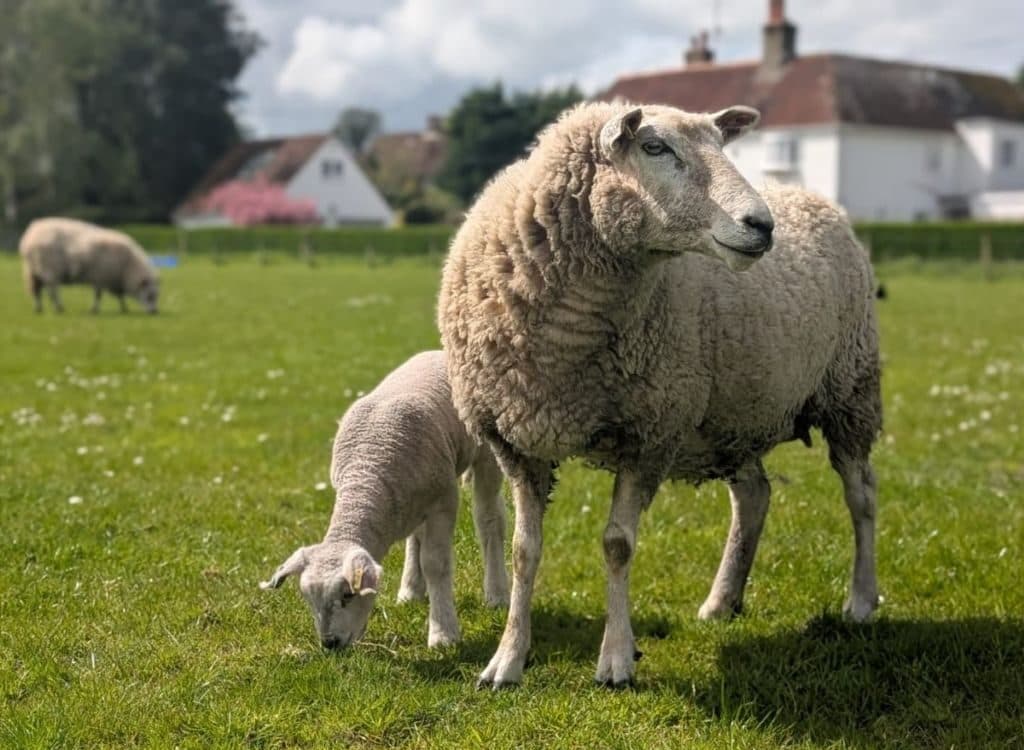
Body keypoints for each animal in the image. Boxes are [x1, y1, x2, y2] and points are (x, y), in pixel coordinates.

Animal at [18, 217, 160, 314]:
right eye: (150, 295)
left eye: (156, 295)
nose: (154, 312)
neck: (128, 265)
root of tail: (31, 235)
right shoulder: (101, 277)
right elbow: (99, 295)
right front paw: (94, 310)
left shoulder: (114, 280)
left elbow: (120, 295)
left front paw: (124, 308)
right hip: (49, 270)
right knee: (52, 291)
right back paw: (59, 308)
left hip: (33, 271)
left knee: (36, 291)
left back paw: (39, 309)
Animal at [260, 350, 509, 650]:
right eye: (309, 599)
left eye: (347, 595)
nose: (329, 644)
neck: (368, 469)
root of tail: (439, 352)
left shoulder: (444, 501)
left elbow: (436, 564)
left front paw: (443, 634)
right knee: (417, 536)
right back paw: (411, 590)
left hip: (486, 455)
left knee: (489, 519)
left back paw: (497, 594)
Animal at [437, 101, 881, 688]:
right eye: (654, 148)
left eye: (722, 145)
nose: (761, 226)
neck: (567, 338)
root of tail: (816, 200)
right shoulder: (516, 440)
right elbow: (523, 550)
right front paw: (507, 659)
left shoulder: (649, 431)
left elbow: (617, 544)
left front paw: (616, 660)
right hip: (732, 415)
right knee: (754, 496)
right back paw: (722, 601)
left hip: (850, 390)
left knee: (861, 496)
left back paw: (861, 601)